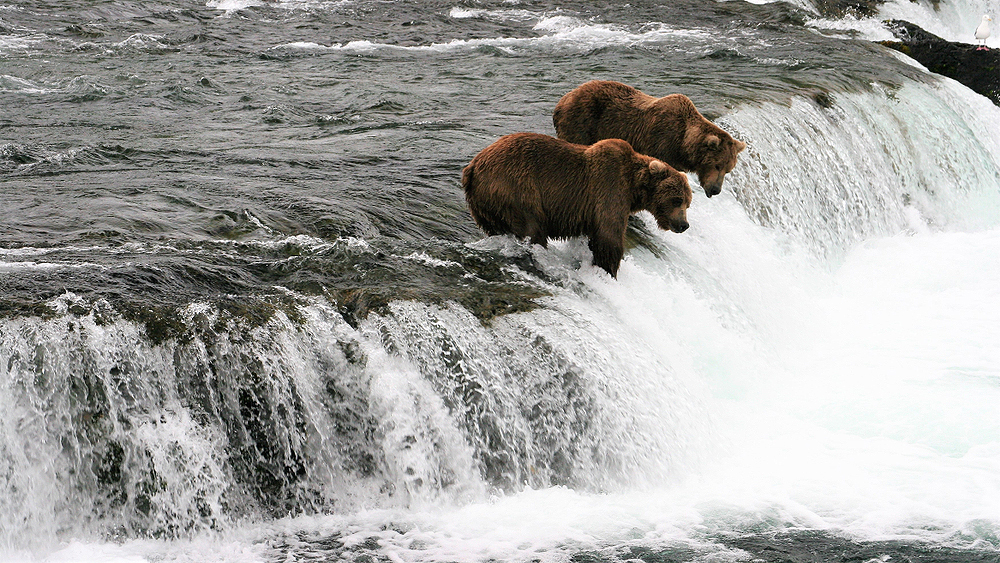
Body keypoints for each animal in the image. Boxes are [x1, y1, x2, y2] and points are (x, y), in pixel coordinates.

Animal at [462, 134, 692, 280]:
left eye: (687, 202)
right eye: (676, 199)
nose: (684, 225)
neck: (635, 187)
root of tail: (472, 167)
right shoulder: (609, 189)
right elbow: (608, 238)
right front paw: (608, 270)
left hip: (483, 205)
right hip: (515, 186)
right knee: (532, 227)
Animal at [552, 80, 748, 198]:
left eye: (728, 169)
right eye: (717, 165)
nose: (716, 190)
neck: (683, 143)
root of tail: (563, 99)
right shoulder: (660, 141)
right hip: (582, 121)